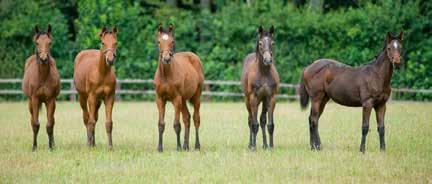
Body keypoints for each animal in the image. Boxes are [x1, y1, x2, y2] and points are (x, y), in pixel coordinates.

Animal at [154, 23, 204, 152]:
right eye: (158, 41)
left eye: (172, 41)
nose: (166, 59)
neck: (166, 75)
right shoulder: (160, 99)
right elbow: (161, 124)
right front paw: (160, 148)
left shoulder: (176, 99)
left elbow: (176, 124)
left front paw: (178, 147)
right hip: (183, 100)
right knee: (187, 118)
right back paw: (186, 145)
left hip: (196, 97)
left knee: (196, 118)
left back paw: (196, 146)